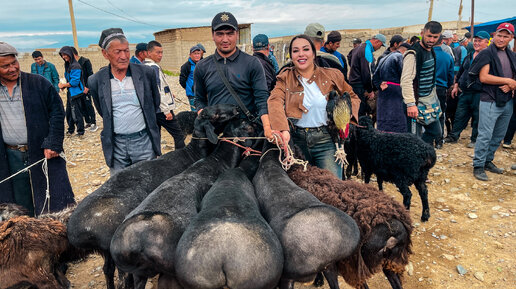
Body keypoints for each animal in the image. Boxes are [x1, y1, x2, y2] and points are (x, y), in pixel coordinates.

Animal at [66, 104, 240, 288]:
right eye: (216, 114)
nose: (236, 108)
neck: (194, 153)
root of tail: (75, 231)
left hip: (107, 252)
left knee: (107, 270)